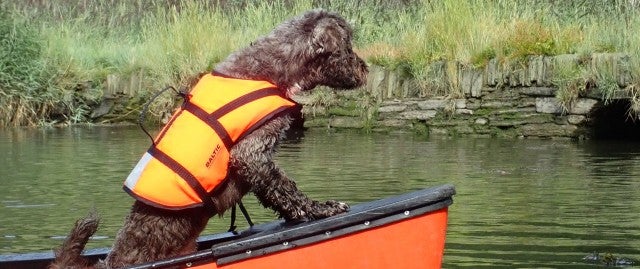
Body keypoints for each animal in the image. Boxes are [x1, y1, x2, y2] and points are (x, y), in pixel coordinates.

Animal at [49, 8, 368, 268]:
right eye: (348, 45)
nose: (365, 70)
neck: (274, 69)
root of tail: (111, 262)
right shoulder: (251, 154)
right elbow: (285, 187)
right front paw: (320, 209)